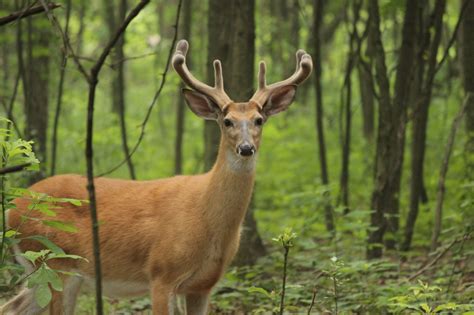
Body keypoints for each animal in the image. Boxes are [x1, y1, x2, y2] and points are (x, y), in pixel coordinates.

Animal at [1, 40, 312, 315]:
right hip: (55, 262)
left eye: (259, 120)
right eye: (227, 122)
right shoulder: (162, 273)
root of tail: (13, 210)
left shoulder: (203, 285)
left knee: (11, 307)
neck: (206, 217)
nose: (246, 148)